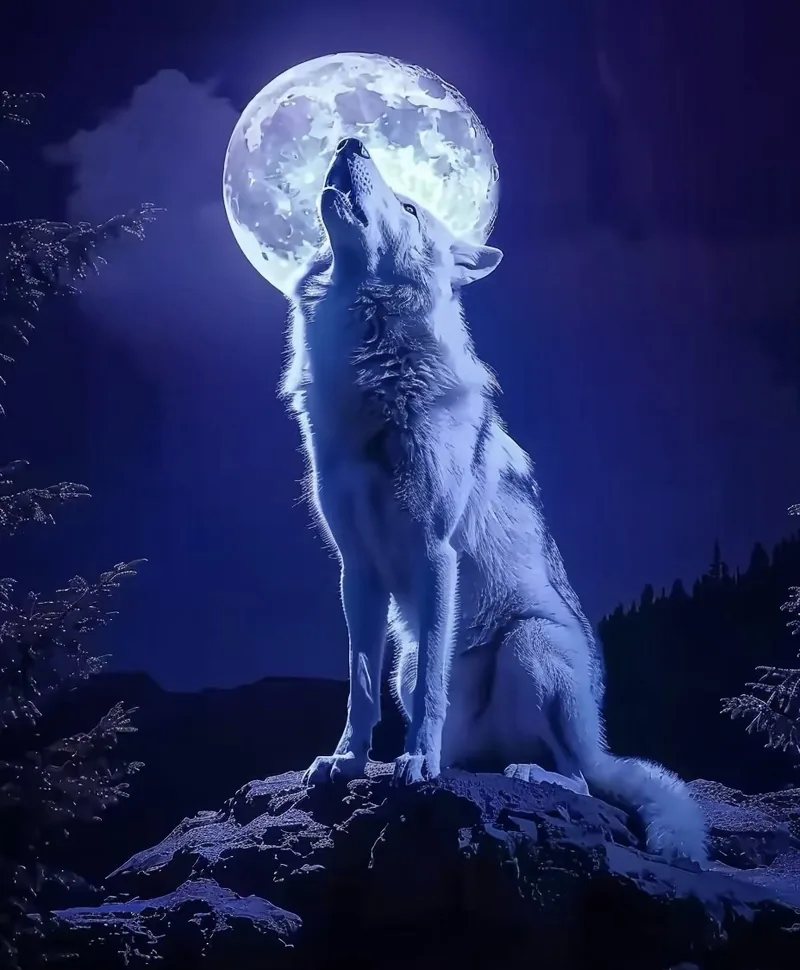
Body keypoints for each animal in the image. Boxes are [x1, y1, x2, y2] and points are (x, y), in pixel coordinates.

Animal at [282, 137, 707, 863]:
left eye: (409, 207)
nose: (350, 141)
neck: (374, 379)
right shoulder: (356, 572)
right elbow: (358, 690)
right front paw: (347, 762)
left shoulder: (434, 552)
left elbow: (432, 689)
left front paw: (415, 764)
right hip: (411, 659)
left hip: (530, 646)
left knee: (582, 781)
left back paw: (522, 771)